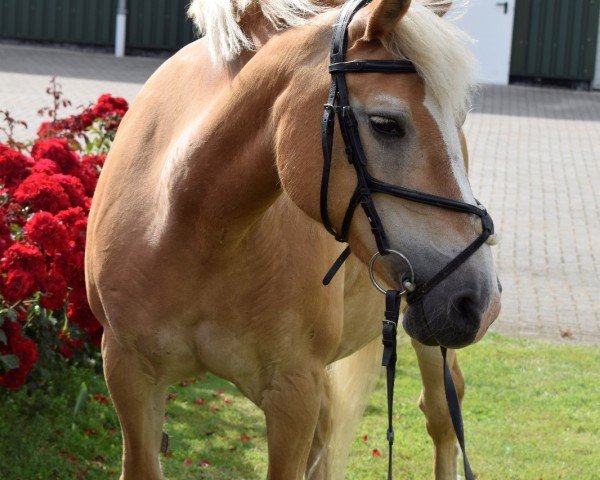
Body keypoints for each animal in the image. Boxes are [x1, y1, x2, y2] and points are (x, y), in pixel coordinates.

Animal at [85, 1, 502, 478]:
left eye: (458, 120)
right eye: (385, 124)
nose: (482, 300)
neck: (193, 230)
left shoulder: (292, 391)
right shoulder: (128, 374)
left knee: (441, 416)